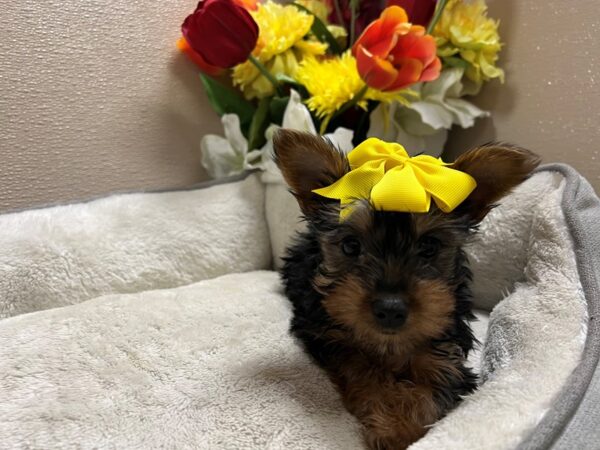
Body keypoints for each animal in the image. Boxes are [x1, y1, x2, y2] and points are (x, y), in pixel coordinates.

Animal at [272, 130, 540, 450]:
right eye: (351, 246)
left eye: (429, 246)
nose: (390, 309)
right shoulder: (329, 334)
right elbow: (362, 368)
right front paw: (392, 423)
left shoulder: (445, 347)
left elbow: (437, 383)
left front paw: (404, 425)